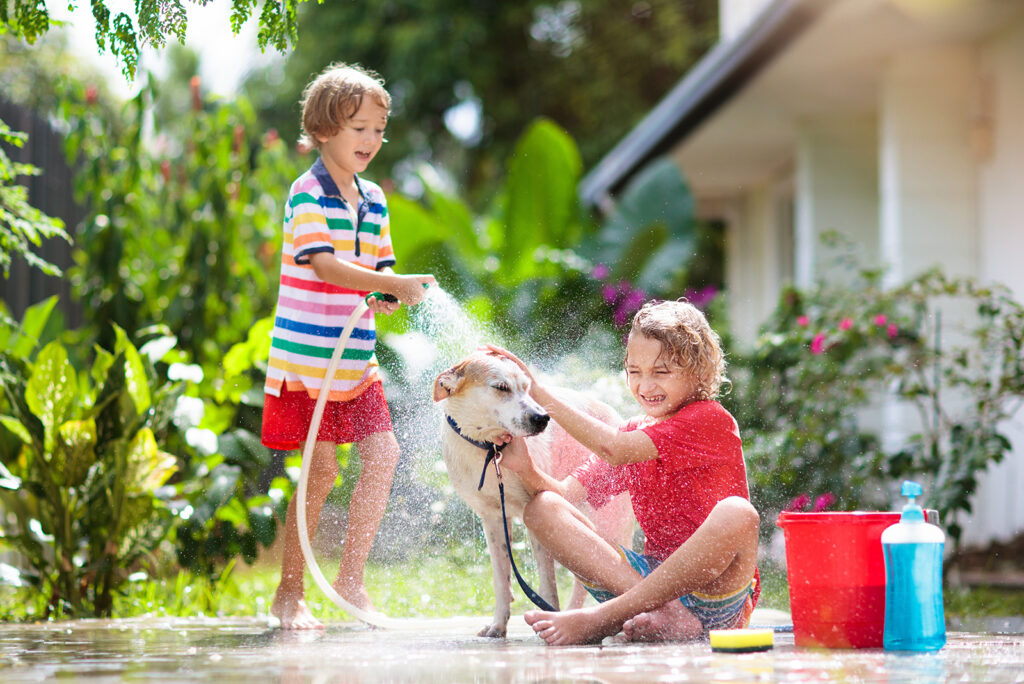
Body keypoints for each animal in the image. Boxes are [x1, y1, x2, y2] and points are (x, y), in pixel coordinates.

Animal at [432, 350, 630, 638]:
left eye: (526, 388)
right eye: (501, 387)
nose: (543, 417)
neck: (490, 451)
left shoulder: (533, 512)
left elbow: (547, 583)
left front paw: (550, 616)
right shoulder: (492, 518)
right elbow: (501, 579)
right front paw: (498, 624)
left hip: (608, 524)